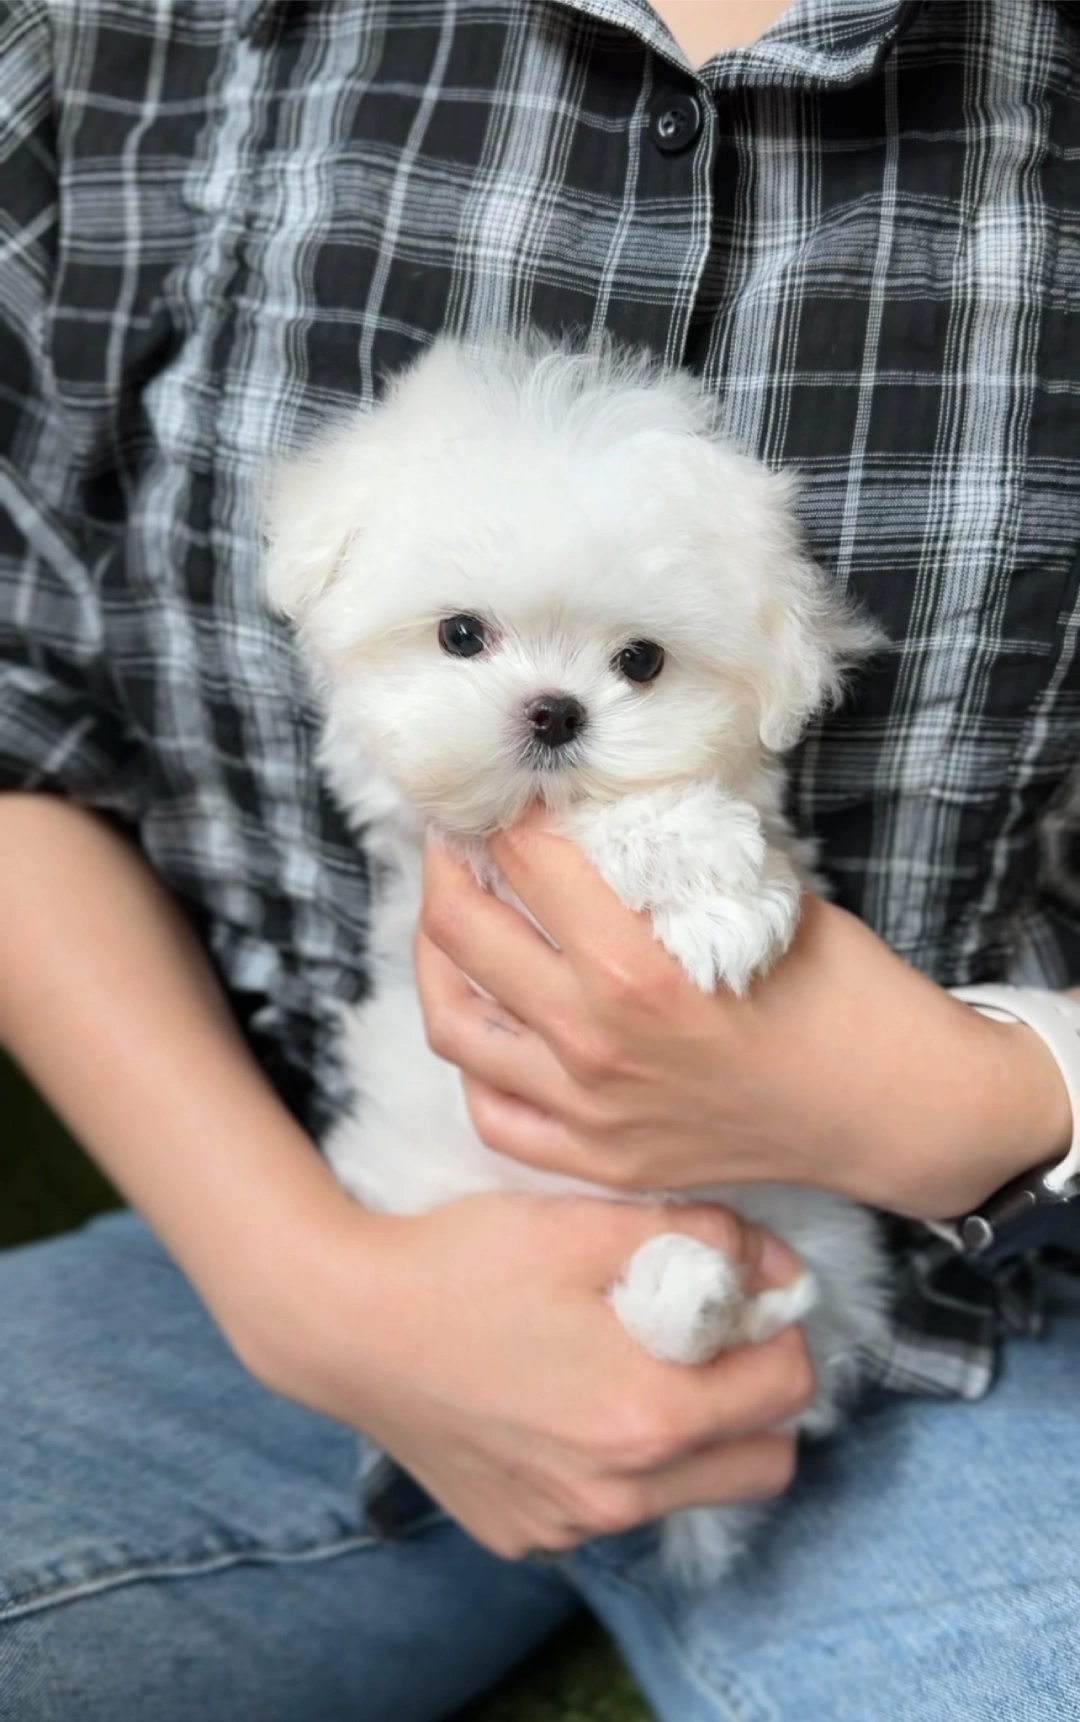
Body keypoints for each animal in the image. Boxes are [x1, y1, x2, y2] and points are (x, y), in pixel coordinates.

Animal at [266, 339, 888, 1584]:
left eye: (640, 662)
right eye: (461, 635)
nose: (555, 712)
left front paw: (714, 885)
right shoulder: (435, 831)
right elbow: (567, 828)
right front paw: (705, 877)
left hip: (820, 1233)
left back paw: (696, 1292)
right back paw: (688, 1288)